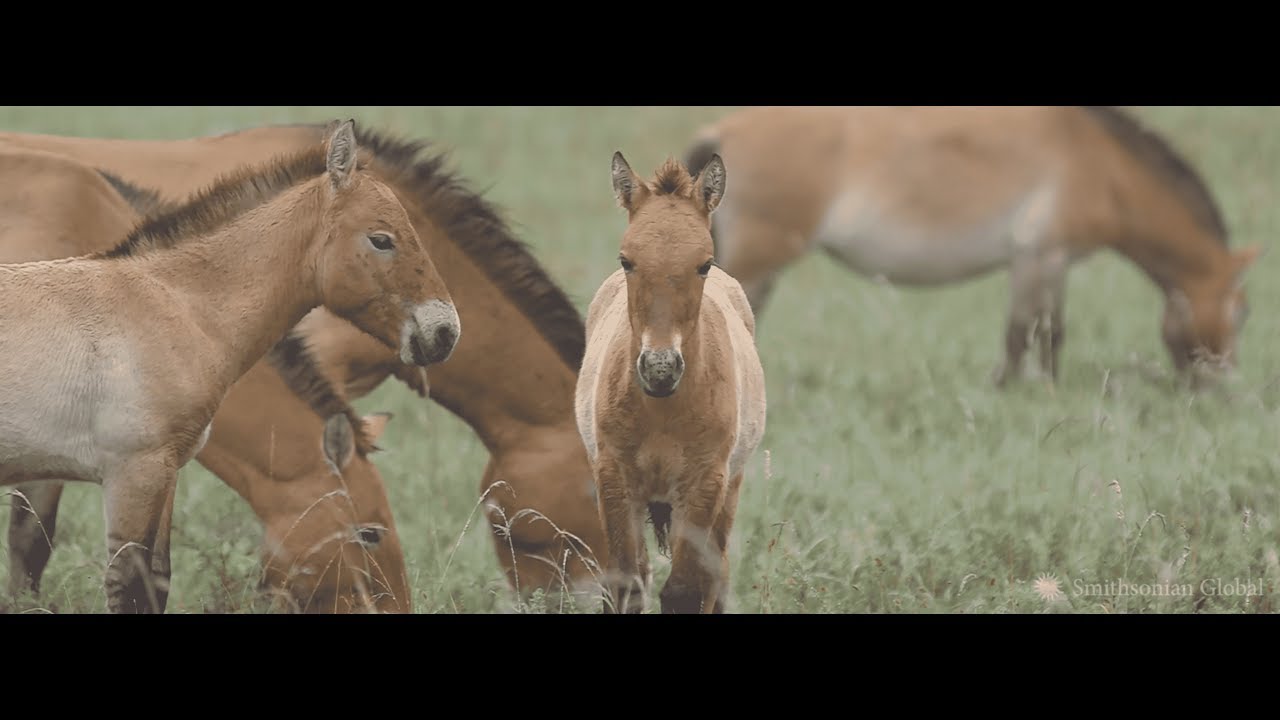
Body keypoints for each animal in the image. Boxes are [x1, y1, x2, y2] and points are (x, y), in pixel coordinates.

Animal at [575, 152, 766, 614]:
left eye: (704, 263)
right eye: (626, 260)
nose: (660, 369)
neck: (661, 410)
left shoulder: (704, 483)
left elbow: (685, 589)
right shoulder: (614, 478)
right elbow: (625, 584)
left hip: (729, 491)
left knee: (717, 573)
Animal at [682, 106, 1262, 385]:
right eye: (1243, 312)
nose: (1221, 386)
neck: (1099, 162)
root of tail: (722, 130)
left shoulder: (1051, 266)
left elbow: (1048, 335)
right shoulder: (1038, 258)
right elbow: (1024, 336)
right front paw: (1014, 391)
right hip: (760, 259)